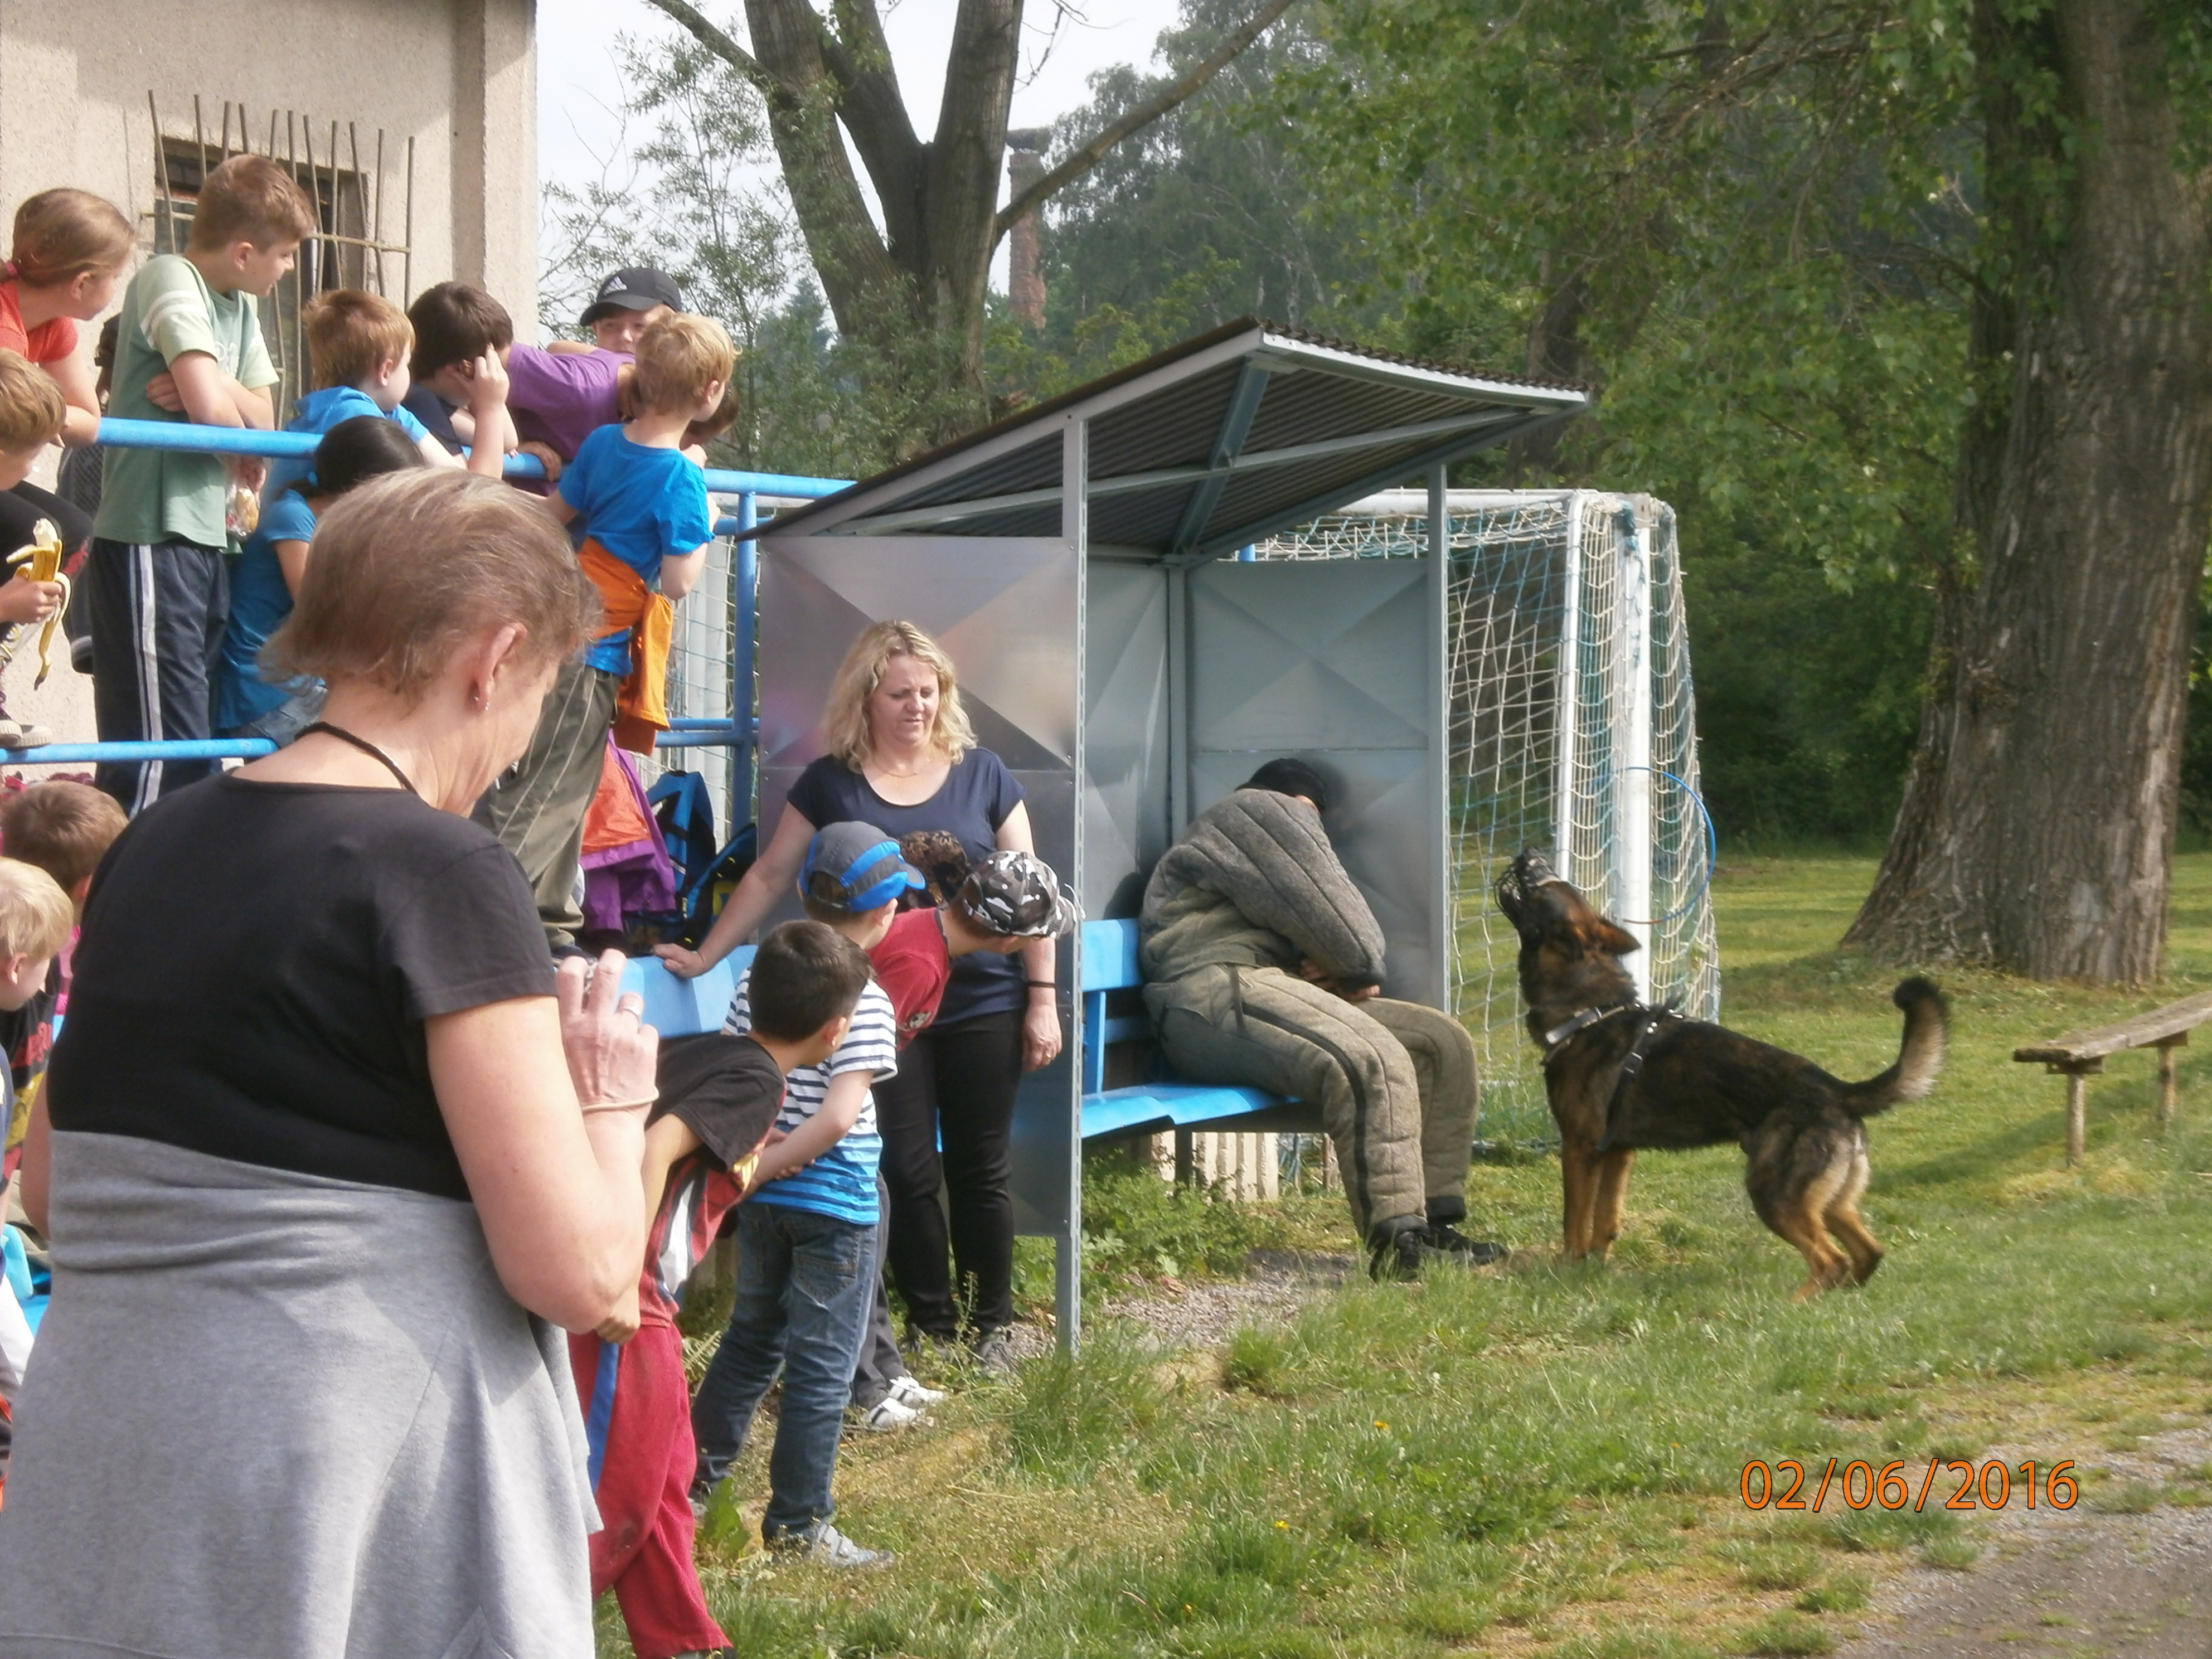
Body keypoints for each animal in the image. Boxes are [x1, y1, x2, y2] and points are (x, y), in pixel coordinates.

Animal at [1495, 849, 1946, 1309]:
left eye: (1543, 885)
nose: (1529, 854)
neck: (1589, 1011)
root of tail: (1839, 1091)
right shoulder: (1619, 1152)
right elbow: (1606, 1221)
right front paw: (1596, 1271)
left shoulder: (1579, 1149)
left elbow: (1575, 1222)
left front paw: (1566, 1271)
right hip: (1830, 1204)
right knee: (1869, 1252)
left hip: (1774, 1194)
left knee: (1831, 1260)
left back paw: (1789, 1306)